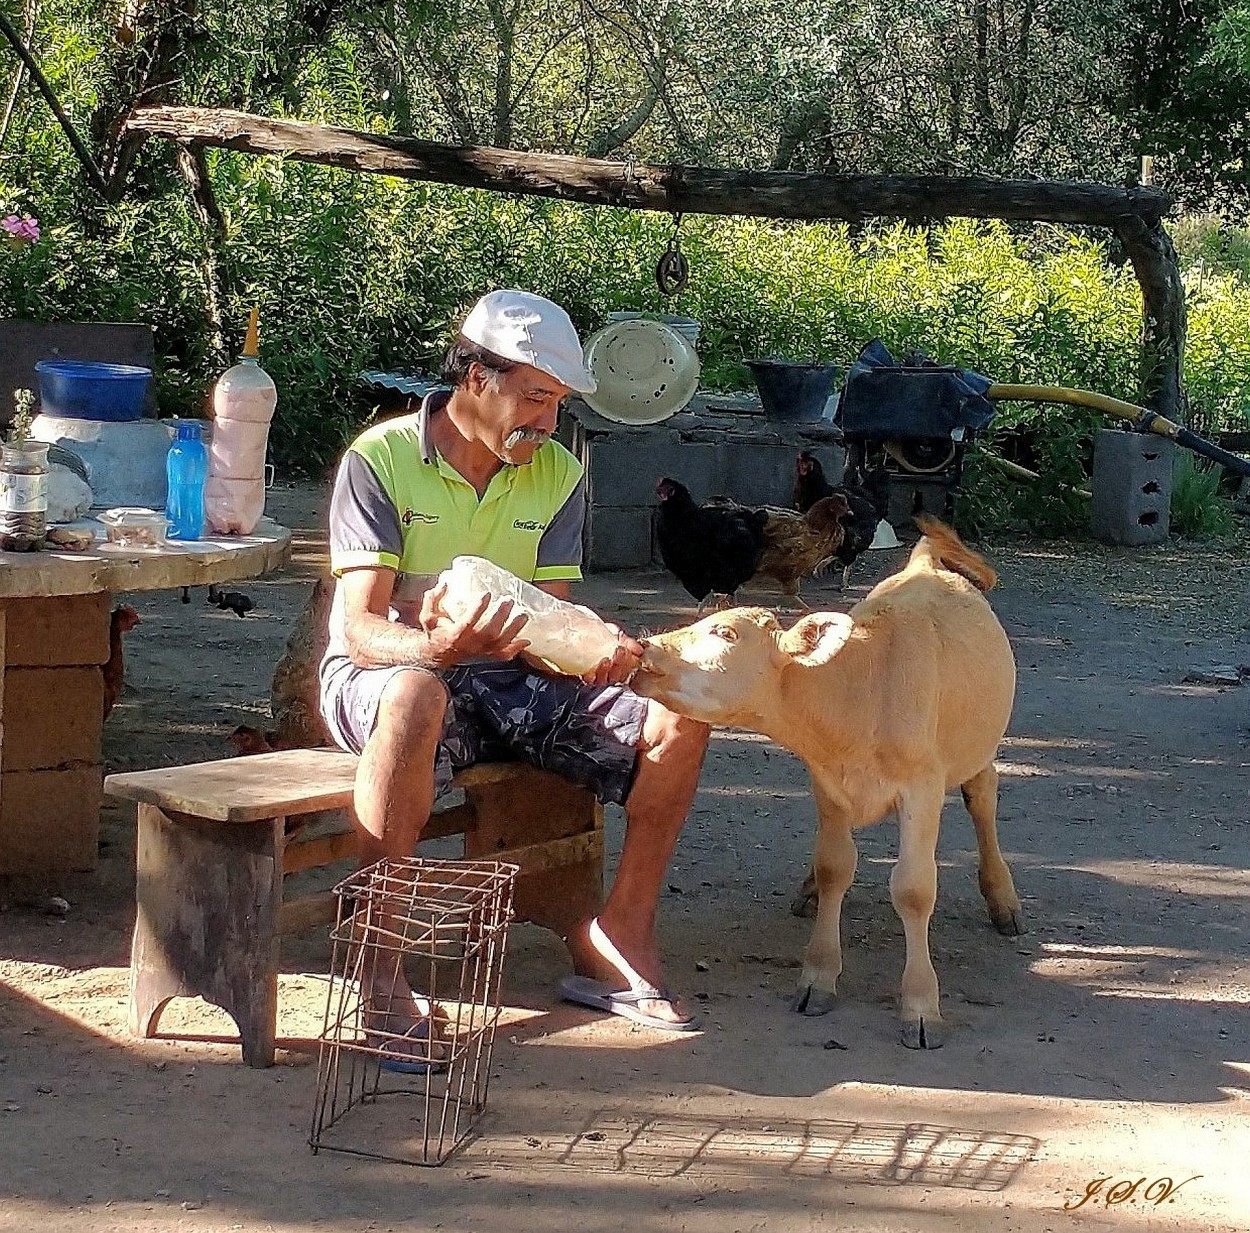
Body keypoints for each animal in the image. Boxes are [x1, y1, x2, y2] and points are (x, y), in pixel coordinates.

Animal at [630, 520, 1020, 1045]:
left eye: (724, 631)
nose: (646, 647)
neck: (864, 692)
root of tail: (924, 564)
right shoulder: (826, 781)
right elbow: (835, 866)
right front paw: (819, 976)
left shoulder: (923, 786)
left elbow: (914, 888)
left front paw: (920, 1005)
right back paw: (809, 888)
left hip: (977, 746)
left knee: (983, 797)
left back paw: (1003, 899)